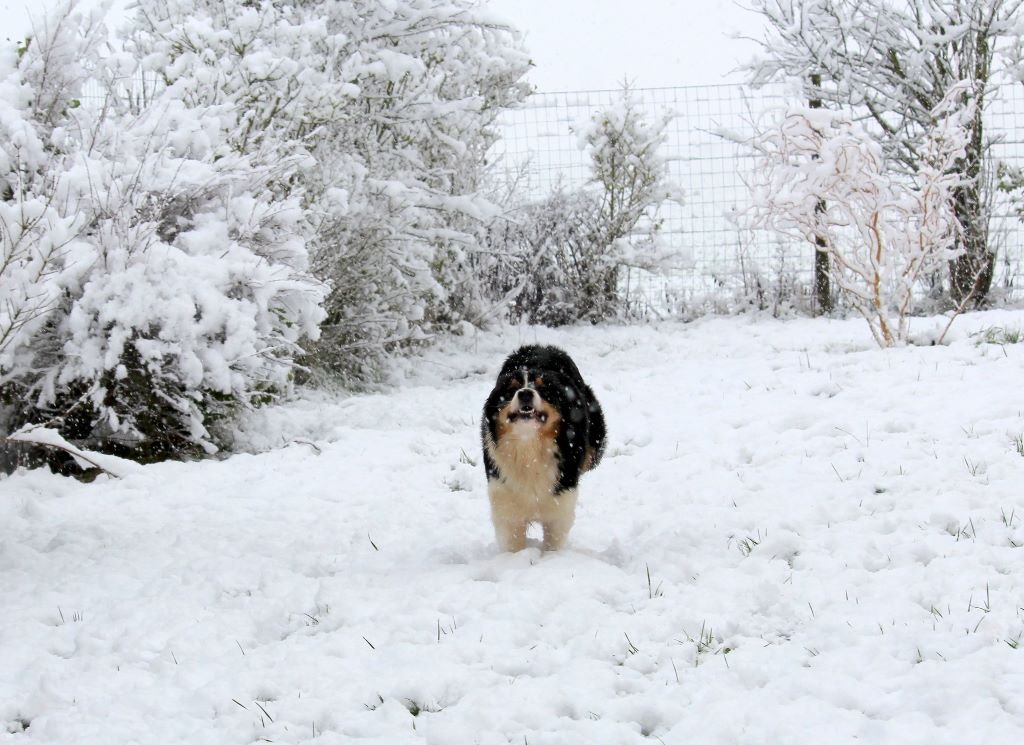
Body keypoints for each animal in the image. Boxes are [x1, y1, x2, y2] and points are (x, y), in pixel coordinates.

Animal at [481, 345, 605, 551]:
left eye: (542, 388)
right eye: (512, 389)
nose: (525, 393)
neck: (529, 446)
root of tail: (541, 346)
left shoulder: (560, 503)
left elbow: (553, 541)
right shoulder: (505, 502)